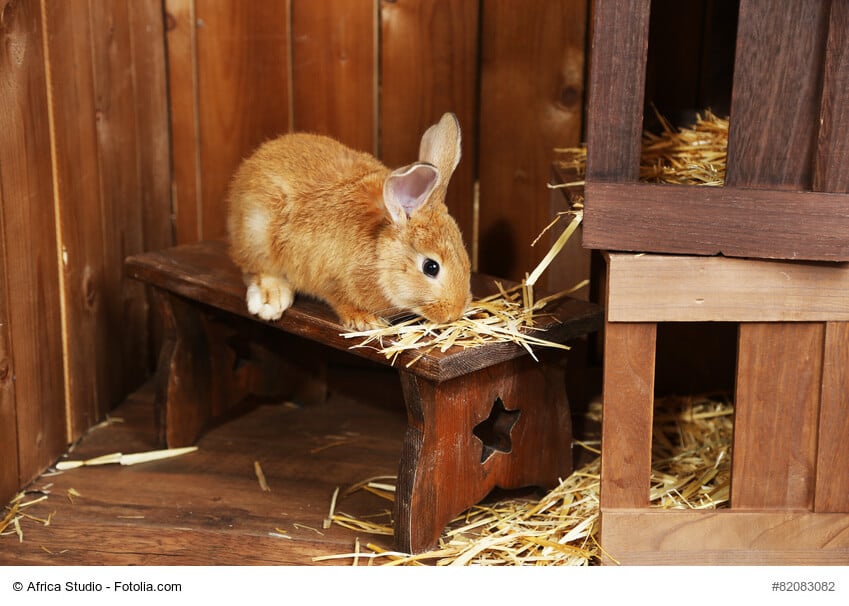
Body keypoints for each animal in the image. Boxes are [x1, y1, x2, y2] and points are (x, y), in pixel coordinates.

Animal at [226, 112, 472, 331]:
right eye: (431, 267)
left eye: (464, 255)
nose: (454, 312)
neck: (379, 254)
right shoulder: (328, 277)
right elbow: (339, 299)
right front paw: (364, 320)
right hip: (256, 233)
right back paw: (271, 299)